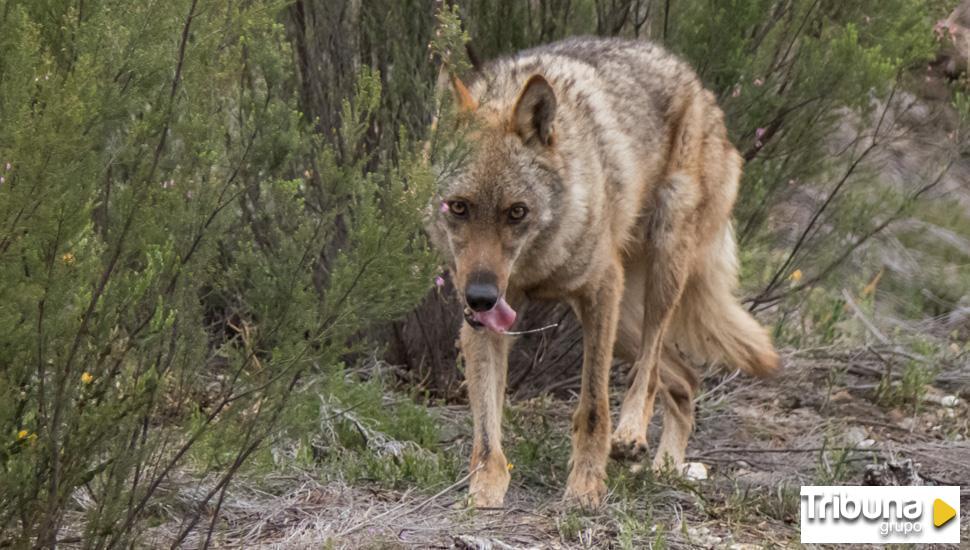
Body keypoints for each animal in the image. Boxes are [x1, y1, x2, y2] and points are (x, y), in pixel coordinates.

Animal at [428, 36, 776, 512]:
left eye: (516, 212)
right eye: (458, 207)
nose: (481, 296)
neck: (537, 263)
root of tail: (699, 86)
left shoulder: (599, 291)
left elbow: (593, 406)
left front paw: (586, 487)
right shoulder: (485, 321)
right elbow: (485, 423)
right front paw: (485, 488)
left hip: (658, 274)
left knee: (649, 370)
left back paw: (631, 434)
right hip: (625, 323)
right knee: (686, 379)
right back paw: (667, 467)